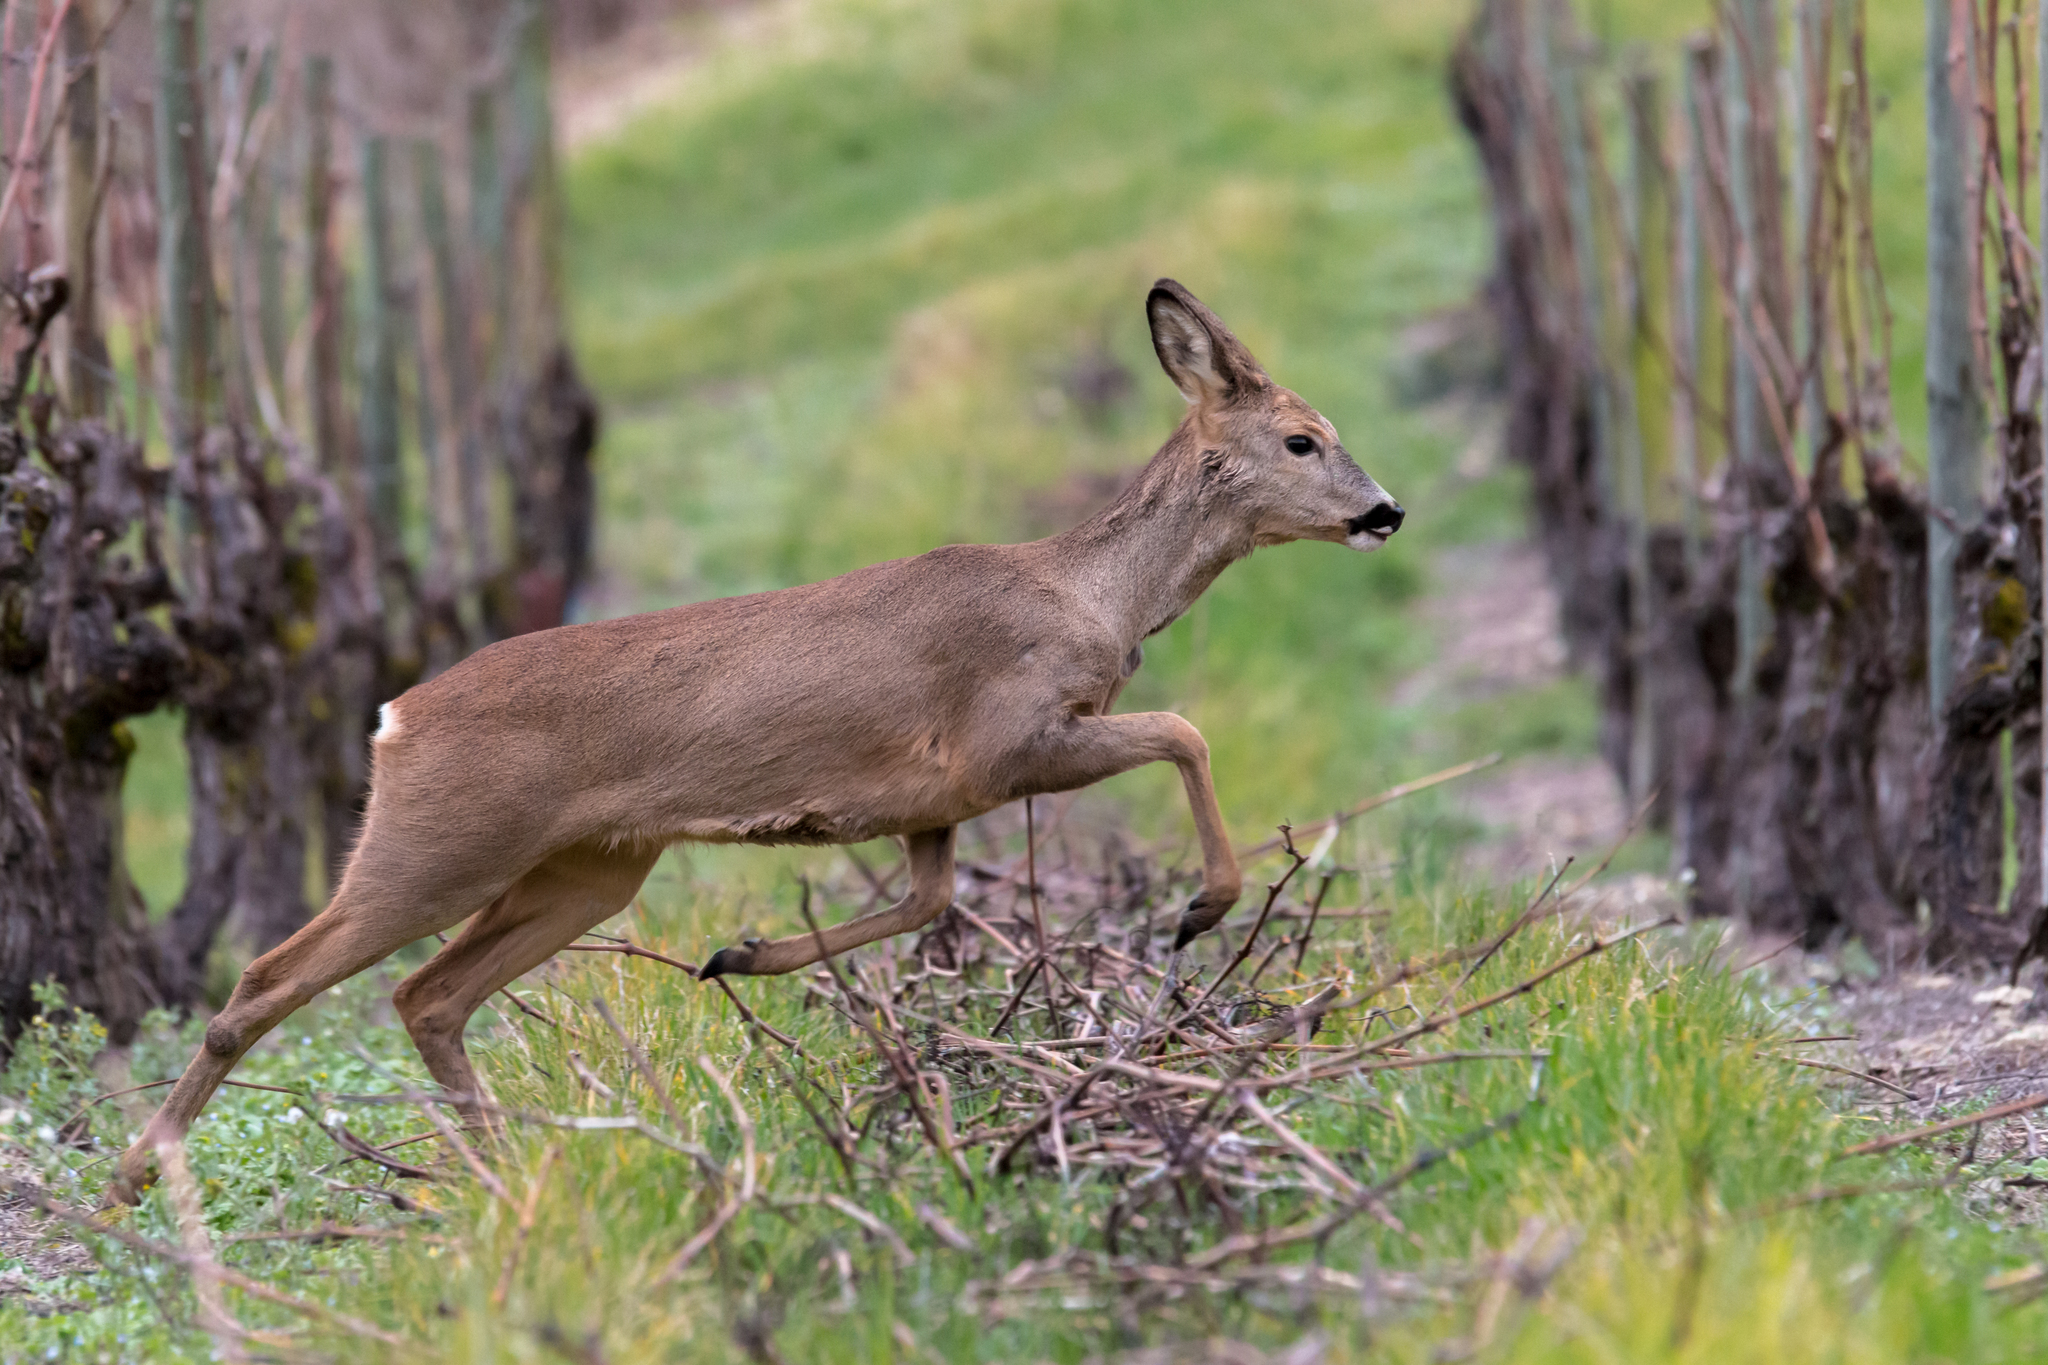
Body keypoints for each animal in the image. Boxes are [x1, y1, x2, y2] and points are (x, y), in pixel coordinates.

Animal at [108, 282, 1392, 1203]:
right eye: (1300, 439)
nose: (1384, 511)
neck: (1092, 600)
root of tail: (393, 717)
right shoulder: (1001, 741)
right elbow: (1182, 727)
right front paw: (1201, 908)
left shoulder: (932, 803)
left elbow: (925, 900)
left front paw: (742, 954)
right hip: (442, 839)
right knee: (270, 977)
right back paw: (137, 1174)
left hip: (590, 866)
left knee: (426, 994)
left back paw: (507, 1162)